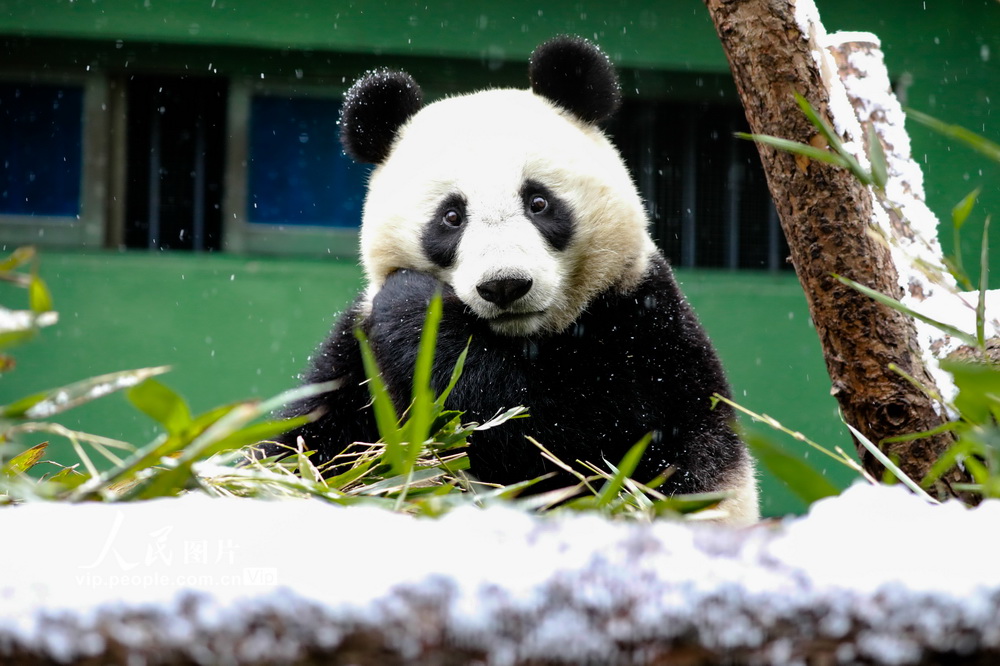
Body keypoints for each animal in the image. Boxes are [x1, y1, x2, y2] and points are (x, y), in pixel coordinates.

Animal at [266, 36, 756, 524]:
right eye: (451, 216)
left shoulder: (643, 328)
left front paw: (416, 307)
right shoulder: (356, 362)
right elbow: (309, 449)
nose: (504, 285)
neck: (522, 338)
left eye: (538, 202)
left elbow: (574, 450)